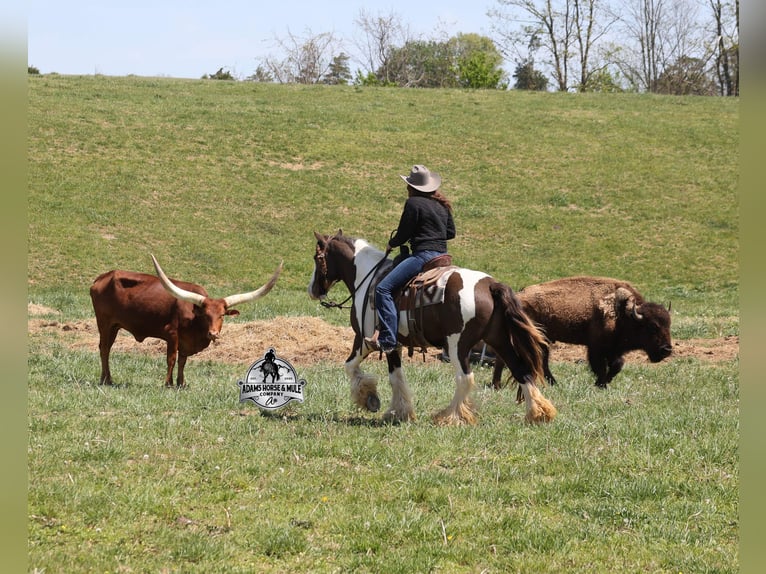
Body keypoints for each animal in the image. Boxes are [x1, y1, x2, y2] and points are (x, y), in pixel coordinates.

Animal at [307, 230, 557, 425]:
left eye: (317, 257)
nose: (312, 290)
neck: (367, 279)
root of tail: (490, 285)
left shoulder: (365, 340)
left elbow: (351, 367)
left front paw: (370, 400)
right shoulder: (394, 345)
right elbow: (396, 377)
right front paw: (400, 412)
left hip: (458, 345)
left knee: (465, 378)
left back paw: (450, 416)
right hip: (499, 340)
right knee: (521, 369)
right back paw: (539, 413)